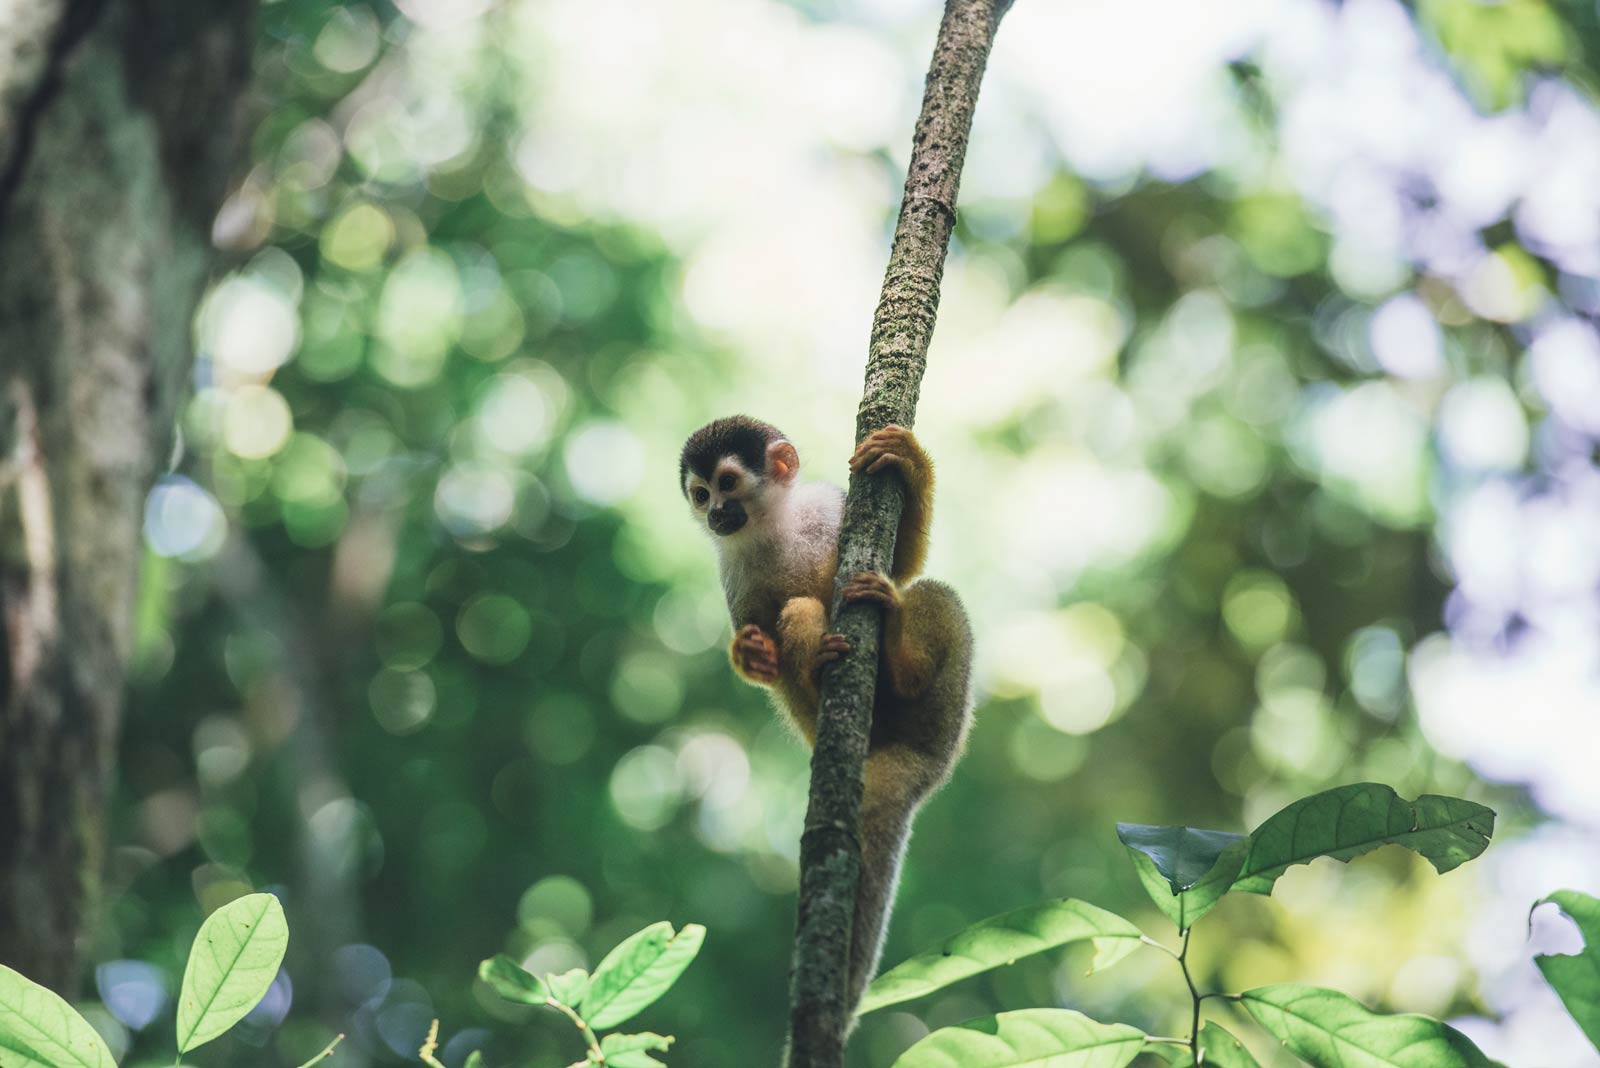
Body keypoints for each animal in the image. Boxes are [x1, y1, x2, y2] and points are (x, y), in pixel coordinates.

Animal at [678, 412, 972, 1016]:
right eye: (699, 494)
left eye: (726, 483)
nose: (714, 514)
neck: (770, 526)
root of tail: (917, 766)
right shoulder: (731, 571)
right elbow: (765, 651)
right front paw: (749, 654)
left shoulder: (833, 506)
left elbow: (904, 565)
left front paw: (910, 464)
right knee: (798, 615)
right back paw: (820, 659)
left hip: (945, 719)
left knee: (934, 595)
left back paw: (904, 658)